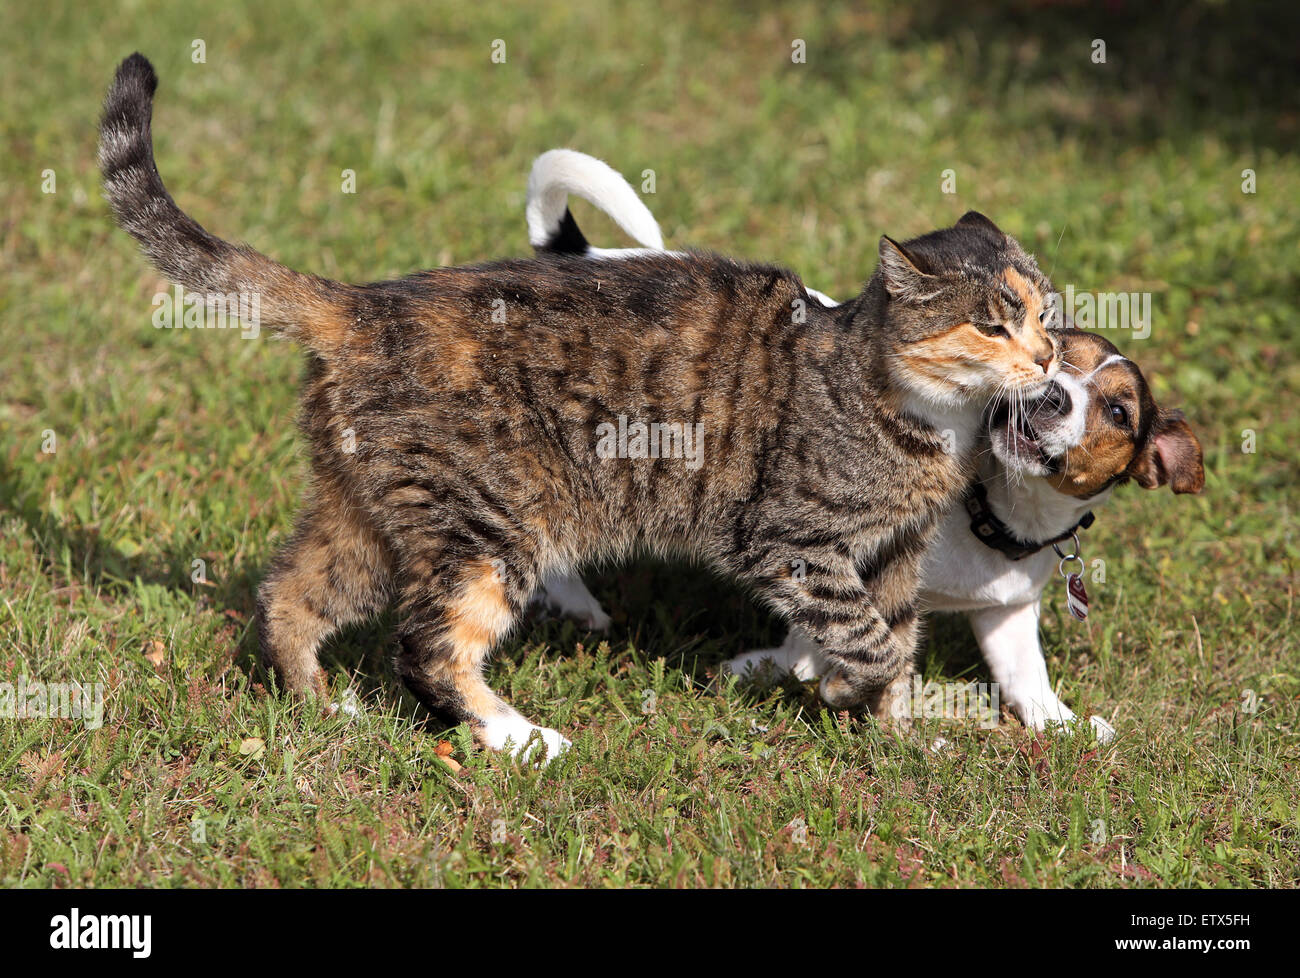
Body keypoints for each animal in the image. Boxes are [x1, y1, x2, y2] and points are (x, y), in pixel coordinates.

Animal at [98, 53, 1055, 759]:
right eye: (991, 323)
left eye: (1047, 308)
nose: (1047, 355)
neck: (915, 408)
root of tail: (364, 303)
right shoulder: (793, 541)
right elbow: (870, 638)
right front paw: (845, 687)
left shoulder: (893, 552)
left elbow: (891, 636)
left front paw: (895, 732)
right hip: (489, 529)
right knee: (428, 646)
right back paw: (519, 738)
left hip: (372, 514)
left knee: (291, 595)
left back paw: (321, 706)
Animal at [522, 148, 1201, 738]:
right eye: (1065, 353)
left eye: (1118, 410)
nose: (1052, 388)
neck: (997, 517)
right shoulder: (811, 548)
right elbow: (838, 635)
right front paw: (802, 674)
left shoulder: (1004, 615)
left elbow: (1022, 680)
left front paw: (1063, 724)